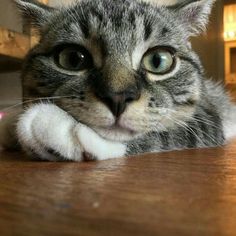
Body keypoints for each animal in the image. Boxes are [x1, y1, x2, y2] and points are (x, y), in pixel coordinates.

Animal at [0, 0, 236, 161]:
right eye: (73, 59)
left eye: (158, 61)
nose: (118, 97)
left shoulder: (207, 117)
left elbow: (166, 133)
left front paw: (57, 125)